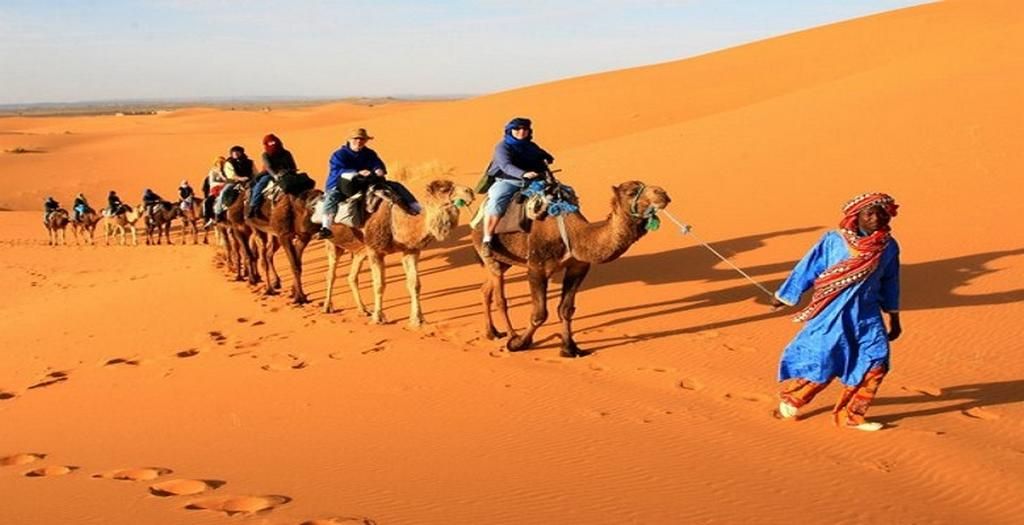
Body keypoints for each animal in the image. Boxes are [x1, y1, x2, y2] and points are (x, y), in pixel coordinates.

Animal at [324, 180, 475, 327]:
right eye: (444, 189)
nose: (470, 191)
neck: (396, 224)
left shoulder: (411, 251)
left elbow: (415, 284)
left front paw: (417, 320)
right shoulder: (375, 251)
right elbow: (379, 285)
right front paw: (378, 318)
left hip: (360, 250)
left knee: (352, 277)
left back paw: (363, 310)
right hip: (333, 242)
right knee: (332, 274)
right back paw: (327, 307)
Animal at [471, 180, 670, 357]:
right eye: (631, 192)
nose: (662, 193)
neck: (574, 234)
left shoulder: (577, 267)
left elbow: (566, 310)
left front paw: (569, 348)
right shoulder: (536, 268)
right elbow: (539, 314)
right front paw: (520, 343)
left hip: (505, 261)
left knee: (485, 289)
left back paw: (492, 332)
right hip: (489, 254)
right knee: (500, 298)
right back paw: (511, 336)